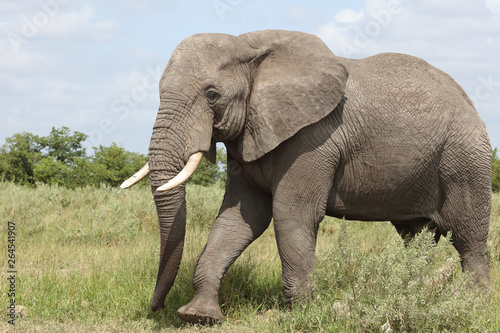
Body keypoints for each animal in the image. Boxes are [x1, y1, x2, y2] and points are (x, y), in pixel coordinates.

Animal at [122, 30, 492, 322]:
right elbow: (241, 218)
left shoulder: (313, 139)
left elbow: (291, 213)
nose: (156, 308)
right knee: (416, 237)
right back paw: (409, 294)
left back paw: (474, 305)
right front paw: (199, 315)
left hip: (464, 159)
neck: (250, 45)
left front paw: (305, 312)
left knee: (469, 237)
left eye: (212, 95)